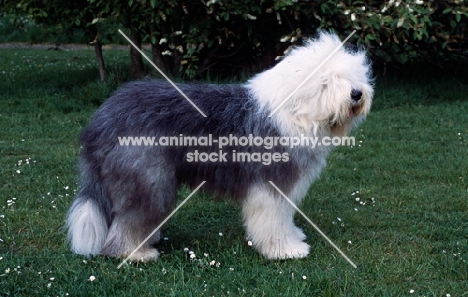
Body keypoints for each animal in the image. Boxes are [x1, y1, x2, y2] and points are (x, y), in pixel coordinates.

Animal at [66, 32, 372, 260]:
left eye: (352, 75)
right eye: (327, 80)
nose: (357, 94)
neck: (297, 111)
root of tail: (100, 119)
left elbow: (285, 216)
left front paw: (293, 238)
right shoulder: (271, 183)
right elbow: (273, 218)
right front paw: (285, 250)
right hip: (147, 179)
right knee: (130, 219)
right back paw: (135, 253)